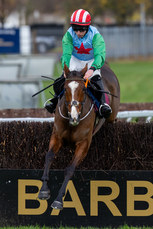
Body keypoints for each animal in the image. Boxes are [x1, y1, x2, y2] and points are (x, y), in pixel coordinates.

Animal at [38, 62, 119, 209]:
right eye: (65, 88)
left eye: (83, 89)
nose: (74, 116)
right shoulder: (56, 137)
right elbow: (49, 156)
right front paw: (44, 190)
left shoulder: (84, 144)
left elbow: (70, 169)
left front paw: (58, 199)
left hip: (112, 114)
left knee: (112, 119)